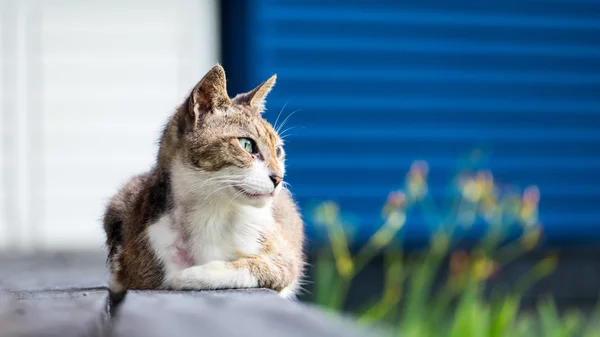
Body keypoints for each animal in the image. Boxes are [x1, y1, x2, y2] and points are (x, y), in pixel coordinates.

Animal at [102, 63, 304, 296]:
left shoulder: (284, 260)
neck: (212, 212)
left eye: (278, 151)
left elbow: (258, 266)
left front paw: (193, 274)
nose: (278, 178)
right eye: (247, 144)